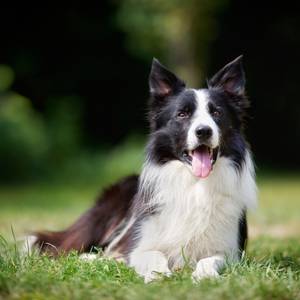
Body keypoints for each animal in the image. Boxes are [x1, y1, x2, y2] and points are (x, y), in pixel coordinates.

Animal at [30, 56, 256, 284]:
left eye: (217, 113)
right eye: (182, 114)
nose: (203, 131)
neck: (195, 185)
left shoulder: (230, 251)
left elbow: (209, 260)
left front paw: (205, 275)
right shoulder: (141, 243)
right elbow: (153, 255)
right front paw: (159, 276)